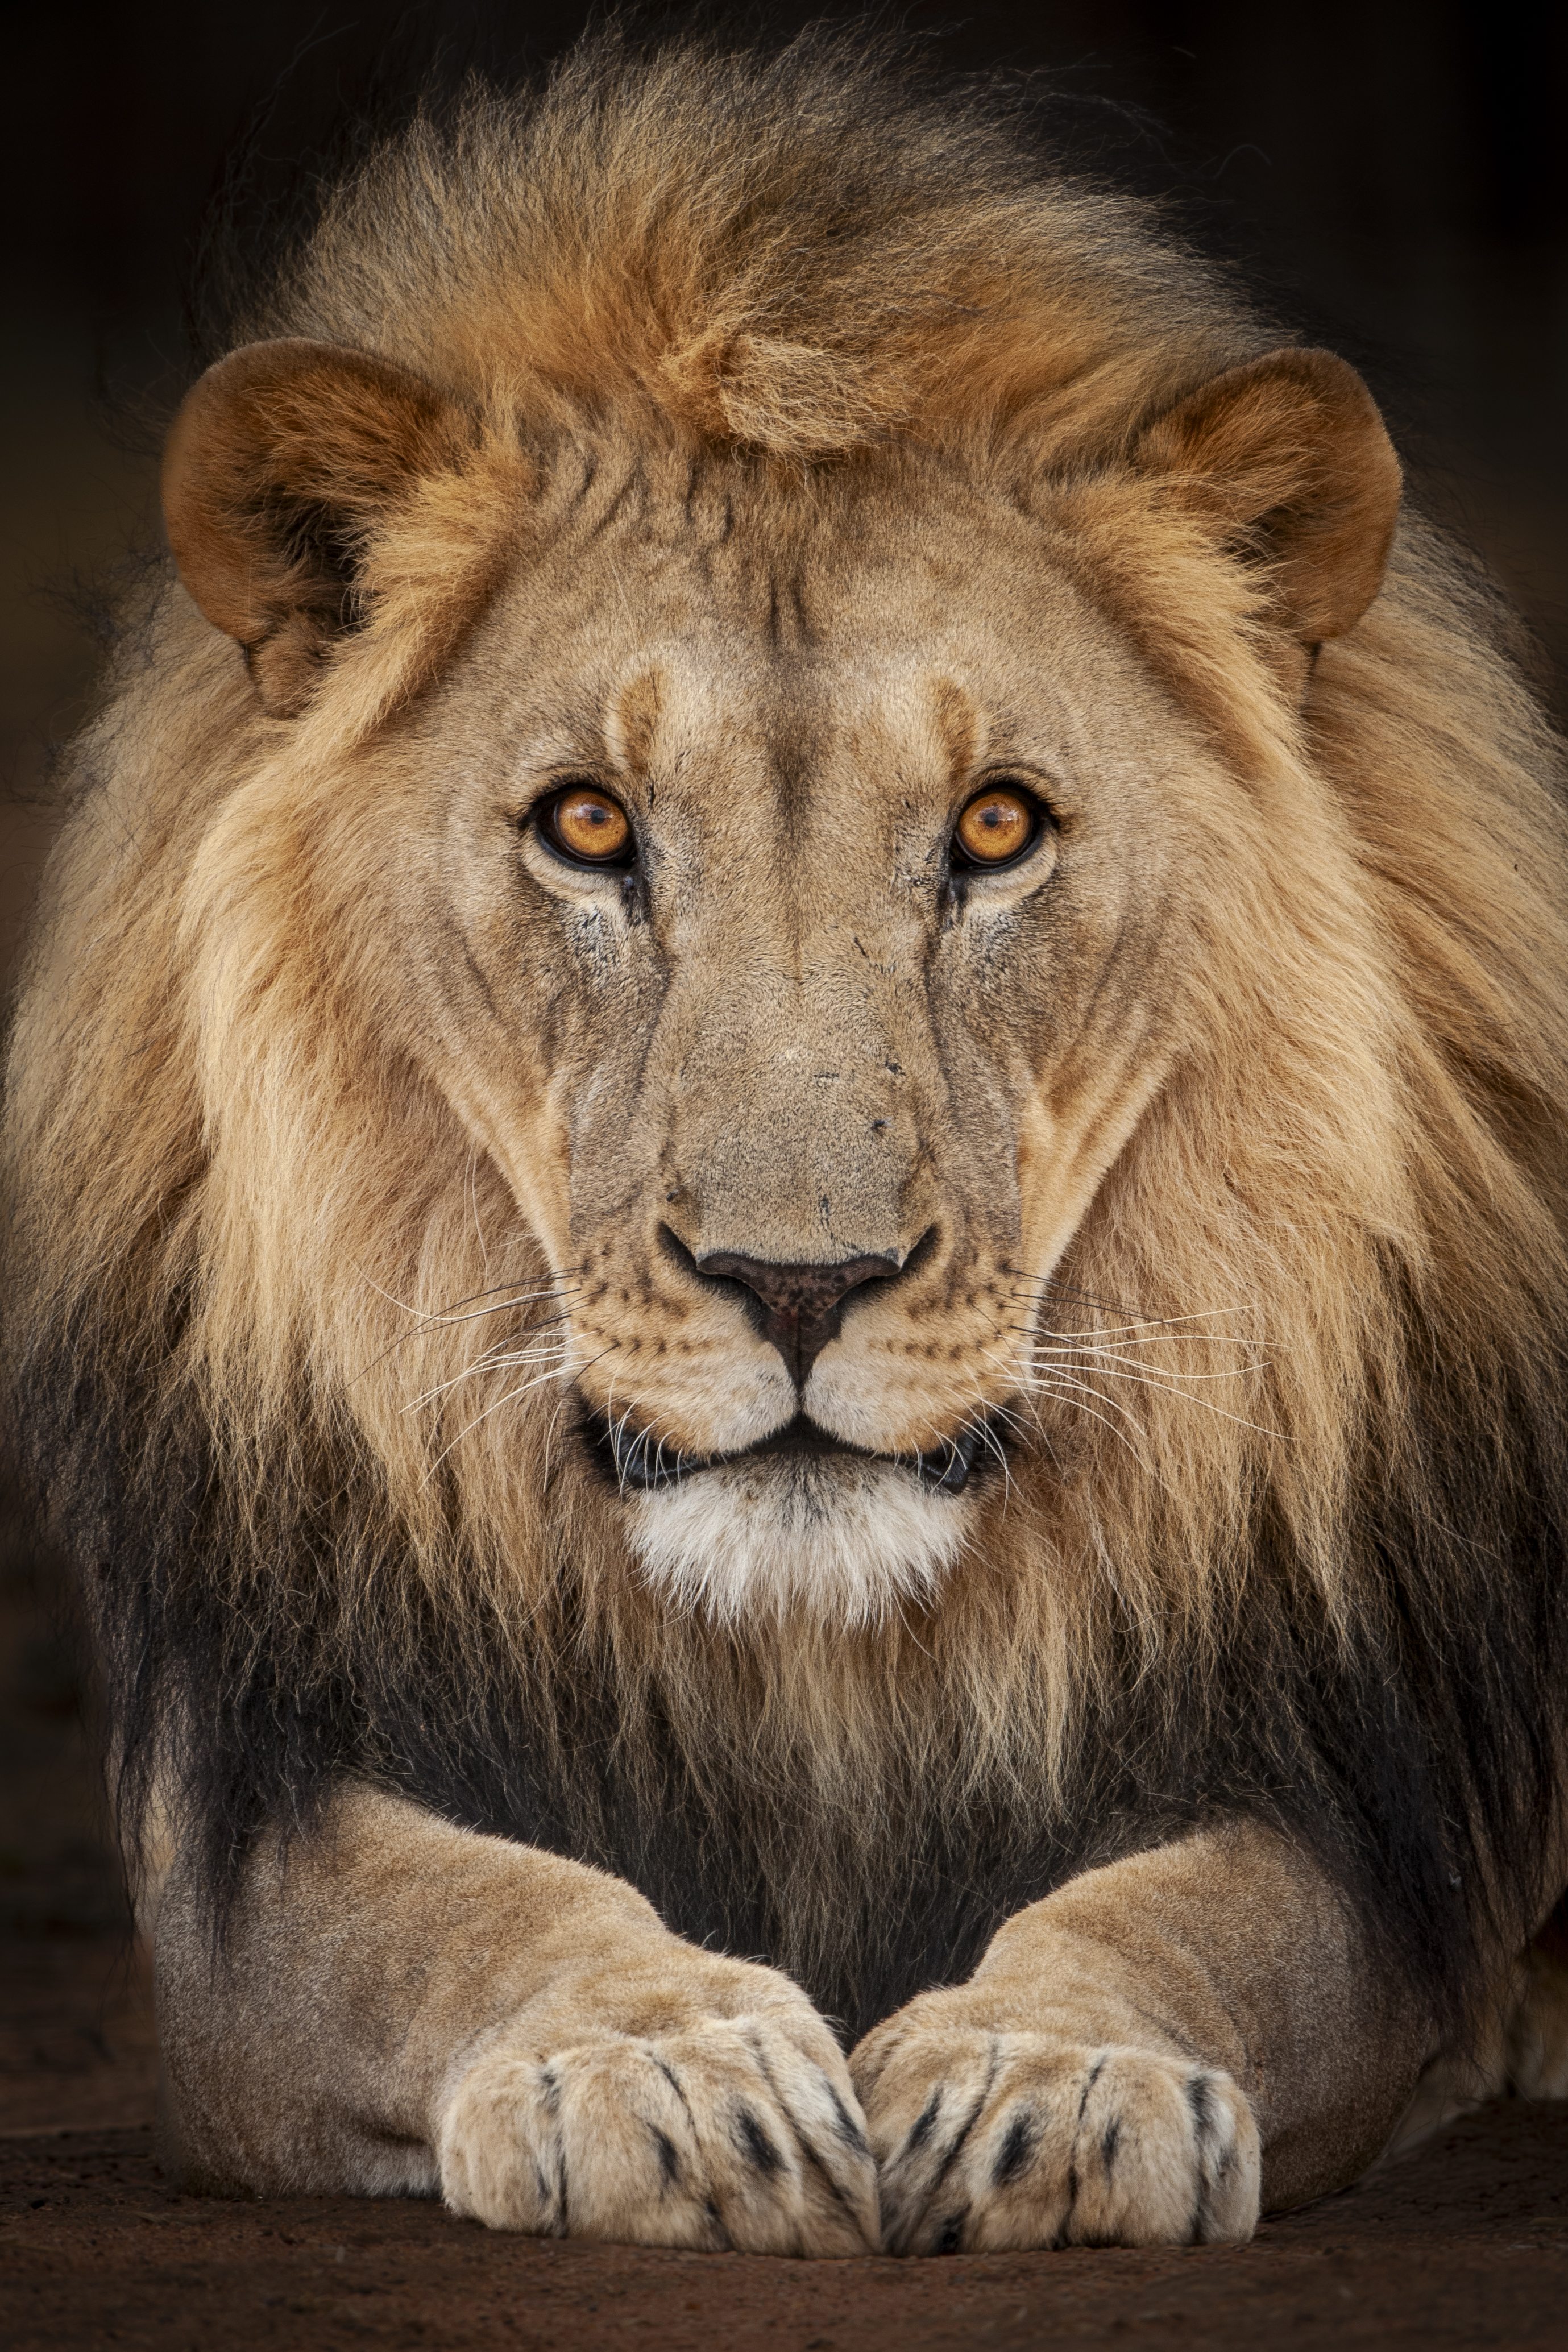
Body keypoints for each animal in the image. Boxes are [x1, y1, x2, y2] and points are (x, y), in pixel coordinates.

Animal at [5, 28, 1568, 2256]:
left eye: (997, 826)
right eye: (586, 824)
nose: (800, 1284)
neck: (814, 1667)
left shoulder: (1369, 1795)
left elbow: (1210, 1913)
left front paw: (1041, 2070)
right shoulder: (253, 1836)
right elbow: (457, 1906)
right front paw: (663, 2064)